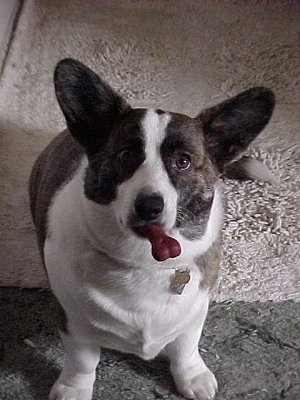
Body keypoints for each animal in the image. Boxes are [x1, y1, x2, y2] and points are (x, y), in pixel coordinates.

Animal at [29, 59, 276, 400]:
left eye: (183, 161)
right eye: (125, 155)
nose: (149, 206)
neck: (145, 261)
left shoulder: (194, 313)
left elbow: (186, 348)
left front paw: (192, 378)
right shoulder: (73, 321)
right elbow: (82, 360)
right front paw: (74, 388)